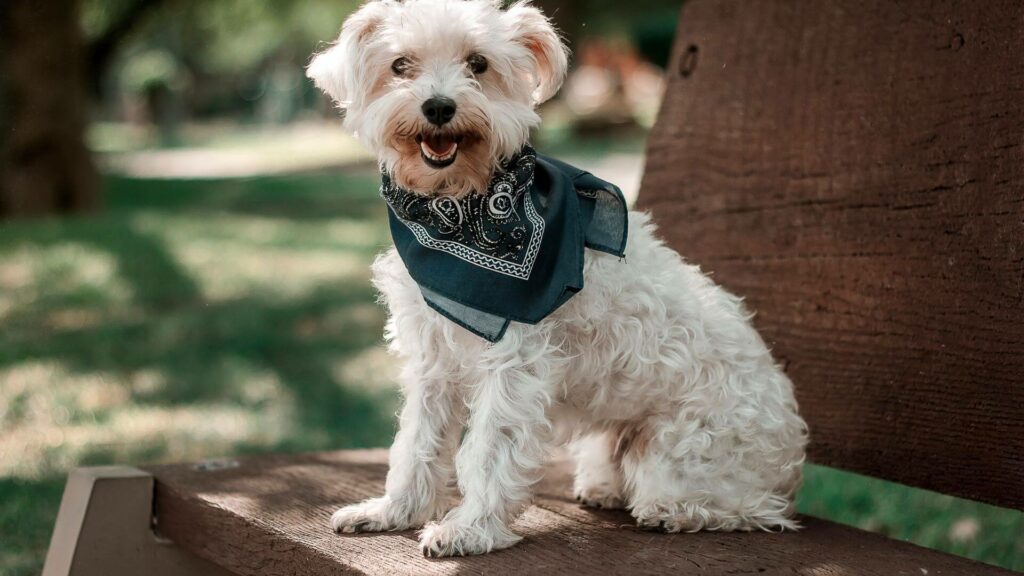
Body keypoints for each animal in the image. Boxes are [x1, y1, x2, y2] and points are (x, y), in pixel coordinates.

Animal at [309, 0, 806, 557]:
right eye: (400, 65)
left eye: (478, 63)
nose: (438, 107)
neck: (457, 207)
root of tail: (793, 450)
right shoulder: (433, 361)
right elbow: (416, 443)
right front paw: (394, 512)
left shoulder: (515, 364)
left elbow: (488, 451)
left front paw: (470, 529)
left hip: (682, 454)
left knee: (746, 510)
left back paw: (678, 513)